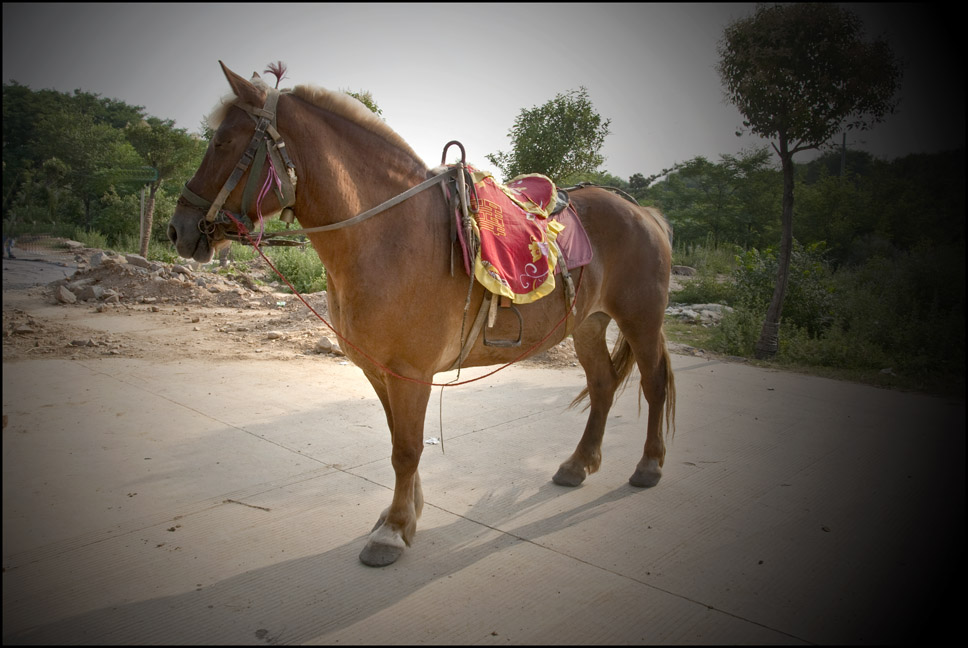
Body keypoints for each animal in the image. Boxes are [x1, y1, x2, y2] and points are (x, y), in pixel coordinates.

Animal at [166, 62, 676, 568]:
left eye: (223, 142)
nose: (178, 230)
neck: (389, 234)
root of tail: (644, 212)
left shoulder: (411, 372)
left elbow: (407, 450)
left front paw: (392, 532)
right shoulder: (380, 371)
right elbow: (399, 442)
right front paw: (406, 515)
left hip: (641, 318)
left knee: (653, 384)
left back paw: (649, 465)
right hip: (588, 323)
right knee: (603, 385)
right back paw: (577, 465)